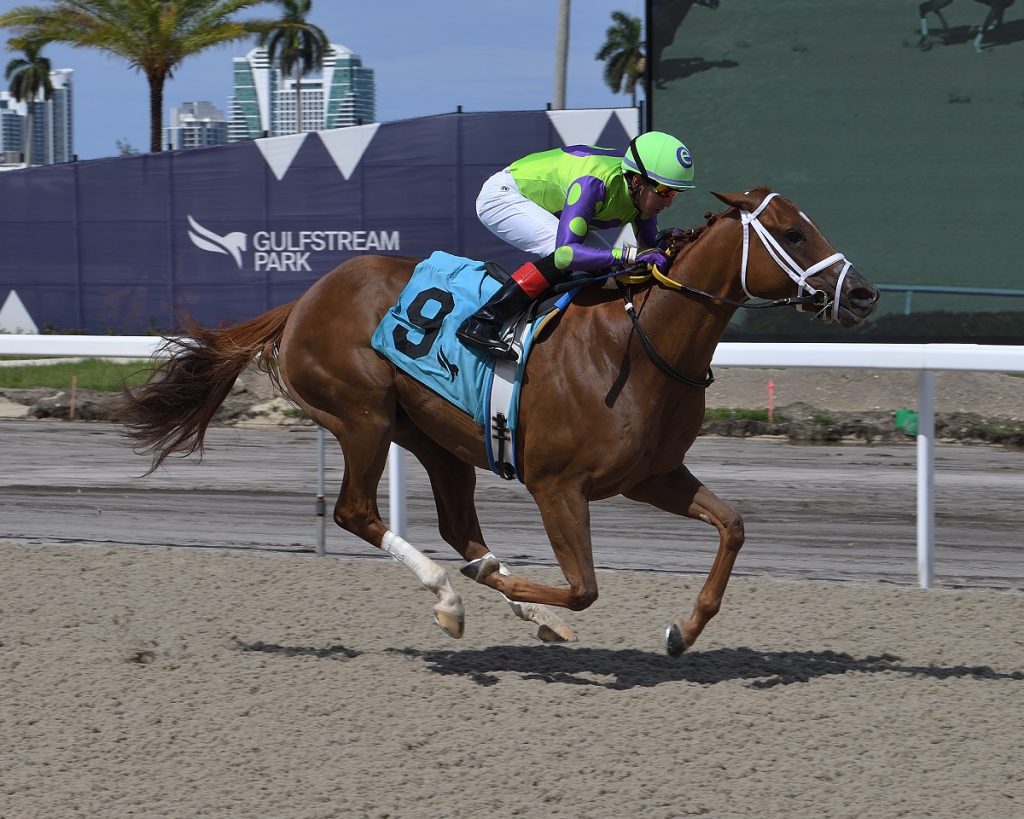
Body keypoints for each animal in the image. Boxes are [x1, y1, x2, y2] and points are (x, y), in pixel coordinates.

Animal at [117, 188, 872, 655]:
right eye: (792, 231)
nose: (864, 293)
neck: (639, 344)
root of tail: (304, 298)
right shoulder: (556, 485)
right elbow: (585, 586)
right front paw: (502, 590)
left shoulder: (652, 475)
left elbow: (732, 526)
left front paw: (683, 629)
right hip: (360, 414)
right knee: (359, 512)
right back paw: (452, 596)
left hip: (435, 438)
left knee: (459, 527)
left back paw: (509, 601)